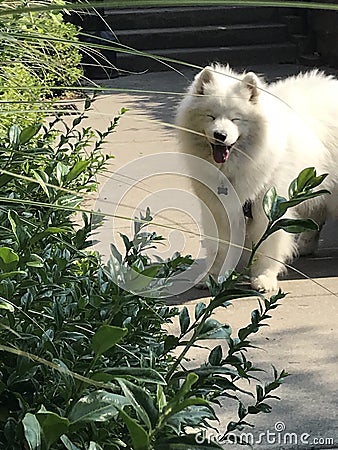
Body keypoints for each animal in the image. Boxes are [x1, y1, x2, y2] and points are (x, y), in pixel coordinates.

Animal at [176, 66, 338, 292]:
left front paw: (264, 279)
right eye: (211, 116)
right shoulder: (220, 209)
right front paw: (213, 276)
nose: (220, 135)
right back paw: (304, 246)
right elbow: (221, 247)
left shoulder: (269, 207)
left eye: (235, 119)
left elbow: (268, 246)